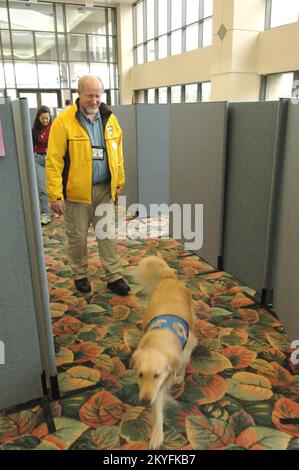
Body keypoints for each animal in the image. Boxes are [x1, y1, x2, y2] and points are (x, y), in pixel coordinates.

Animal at [132, 255, 198, 450]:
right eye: (140, 374)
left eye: (156, 375)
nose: (145, 401)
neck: (160, 339)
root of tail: (169, 276)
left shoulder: (185, 351)